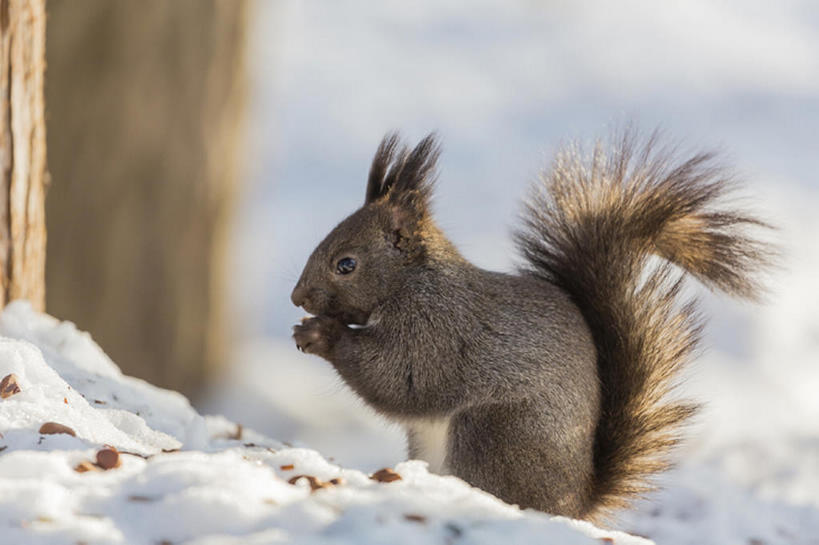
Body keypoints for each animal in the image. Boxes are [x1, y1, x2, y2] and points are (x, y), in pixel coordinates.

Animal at [292, 129, 772, 520]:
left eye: (346, 264)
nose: (298, 298)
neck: (413, 281)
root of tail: (574, 505)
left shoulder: (437, 330)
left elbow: (401, 379)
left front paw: (320, 333)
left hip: (495, 434)